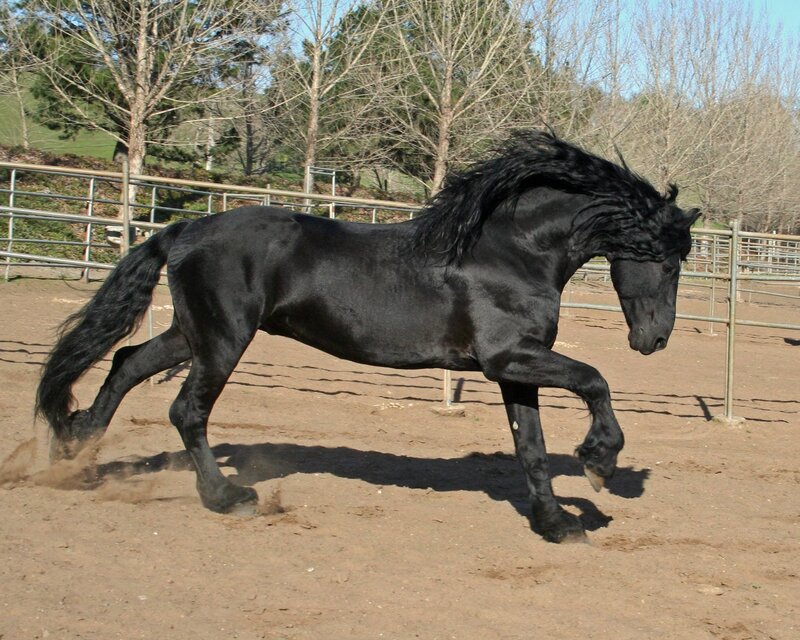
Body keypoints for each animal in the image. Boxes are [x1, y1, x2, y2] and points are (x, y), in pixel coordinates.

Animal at [36, 130, 699, 543]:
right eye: (669, 262)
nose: (656, 340)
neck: (510, 252)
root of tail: (184, 230)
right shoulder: (509, 358)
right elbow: (594, 380)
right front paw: (599, 463)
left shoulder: (515, 369)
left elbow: (530, 446)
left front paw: (555, 523)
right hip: (223, 339)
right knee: (185, 409)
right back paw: (226, 497)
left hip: (191, 333)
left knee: (124, 362)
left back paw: (75, 454)